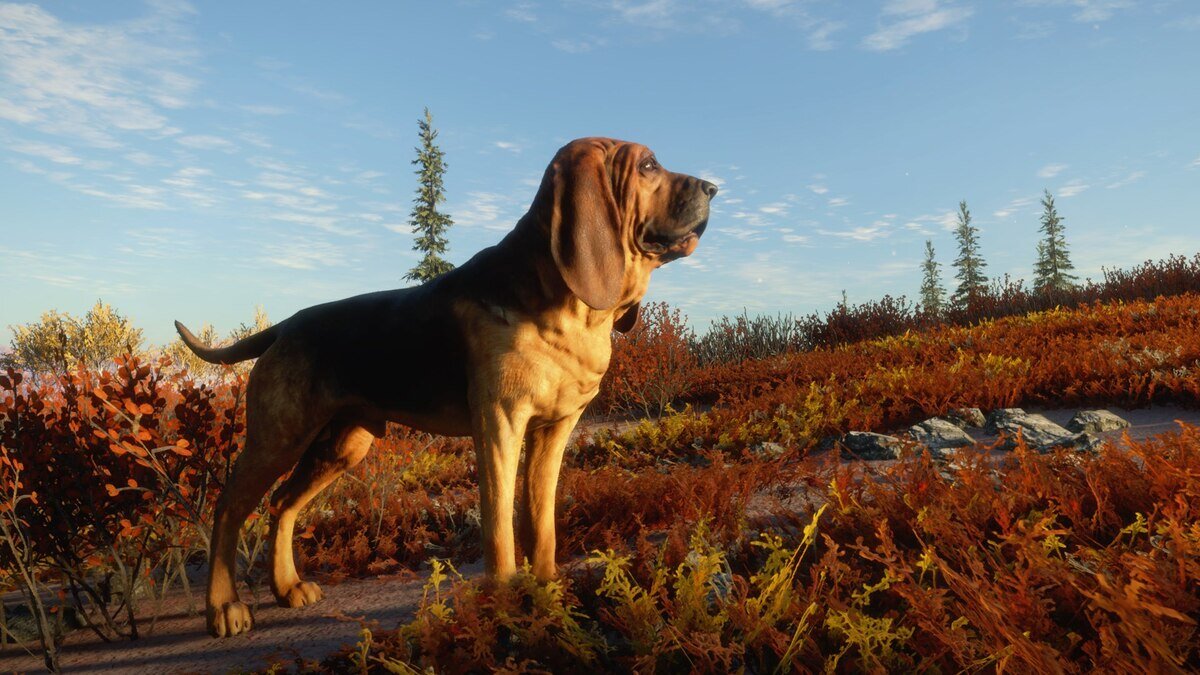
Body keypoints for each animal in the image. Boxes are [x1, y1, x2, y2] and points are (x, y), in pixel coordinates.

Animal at [175, 136, 715, 634]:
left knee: (282, 503)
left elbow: (540, 524)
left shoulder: (554, 429)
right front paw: (504, 604)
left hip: (341, 445)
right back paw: (224, 607)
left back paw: (287, 587)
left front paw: (547, 597)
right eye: (648, 166)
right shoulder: (499, 425)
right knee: (228, 508)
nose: (714, 187)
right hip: (279, 438)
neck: (568, 307)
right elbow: (499, 527)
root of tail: (285, 326)